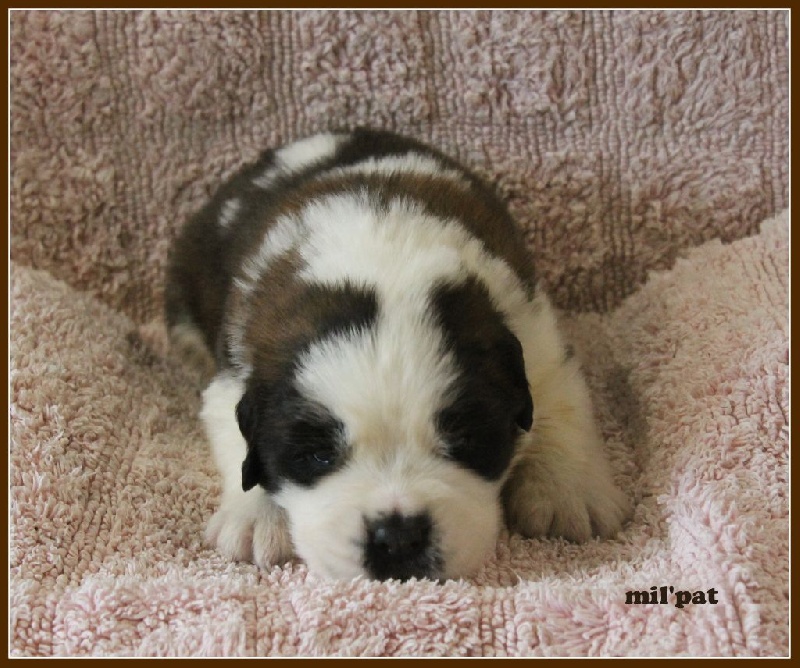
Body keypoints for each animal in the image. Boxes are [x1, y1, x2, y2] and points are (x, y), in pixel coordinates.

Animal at [165, 128, 630, 581]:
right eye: (318, 455)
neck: (382, 267)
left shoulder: (533, 335)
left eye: (464, 440)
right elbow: (234, 439)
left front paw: (567, 491)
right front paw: (257, 517)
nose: (398, 536)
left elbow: (562, 405)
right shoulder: (235, 370)